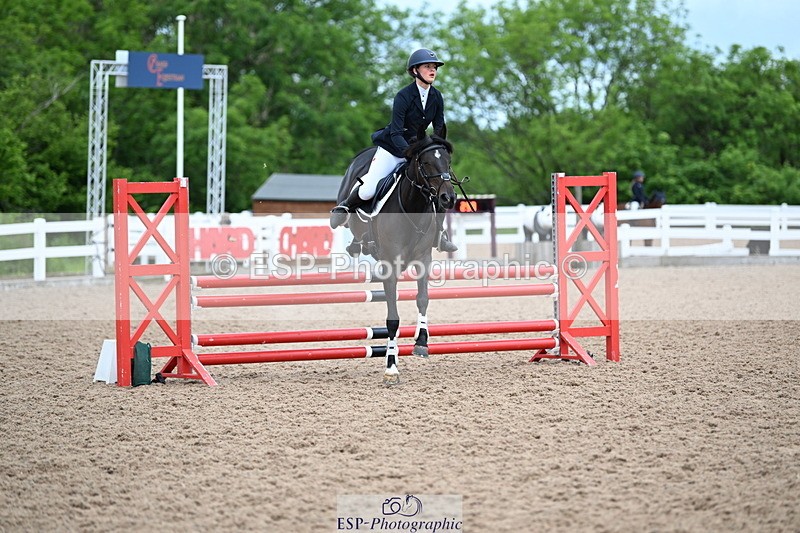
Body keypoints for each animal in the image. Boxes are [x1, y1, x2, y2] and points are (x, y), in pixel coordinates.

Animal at [336, 128, 457, 385]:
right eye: (426, 163)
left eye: (448, 161)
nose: (448, 199)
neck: (413, 206)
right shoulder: (390, 268)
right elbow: (393, 320)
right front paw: (391, 367)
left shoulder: (423, 260)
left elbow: (422, 299)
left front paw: (421, 343)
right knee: (351, 205)